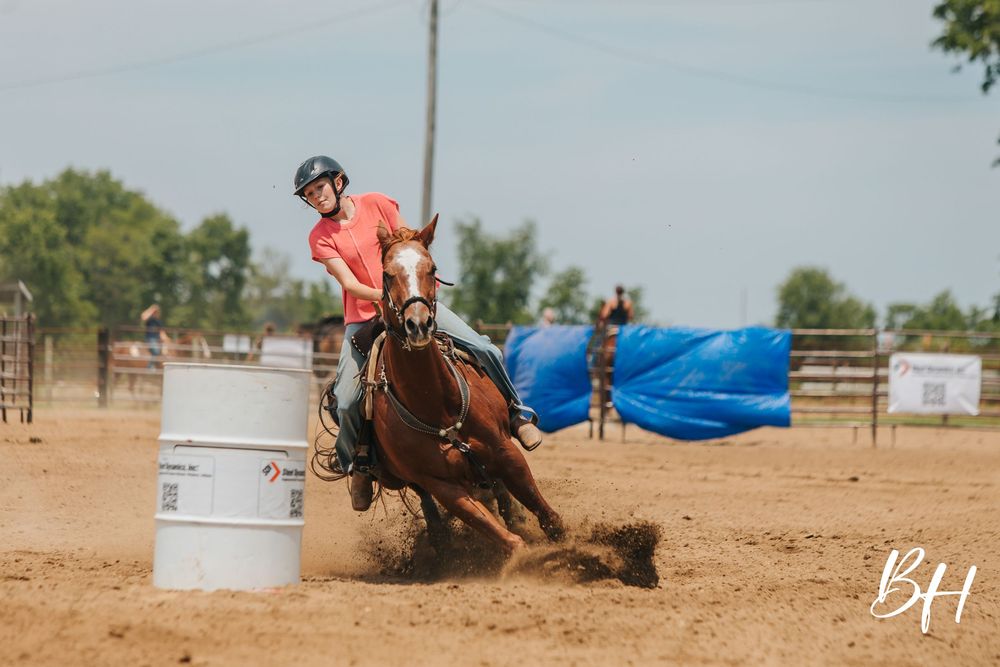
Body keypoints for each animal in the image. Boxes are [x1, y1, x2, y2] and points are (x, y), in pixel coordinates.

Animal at [369, 216, 564, 553]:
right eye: (387, 273)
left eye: (432, 268)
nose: (418, 324)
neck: (435, 402)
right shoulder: (442, 485)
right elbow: (498, 532)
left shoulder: (504, 451)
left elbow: (547, 516)